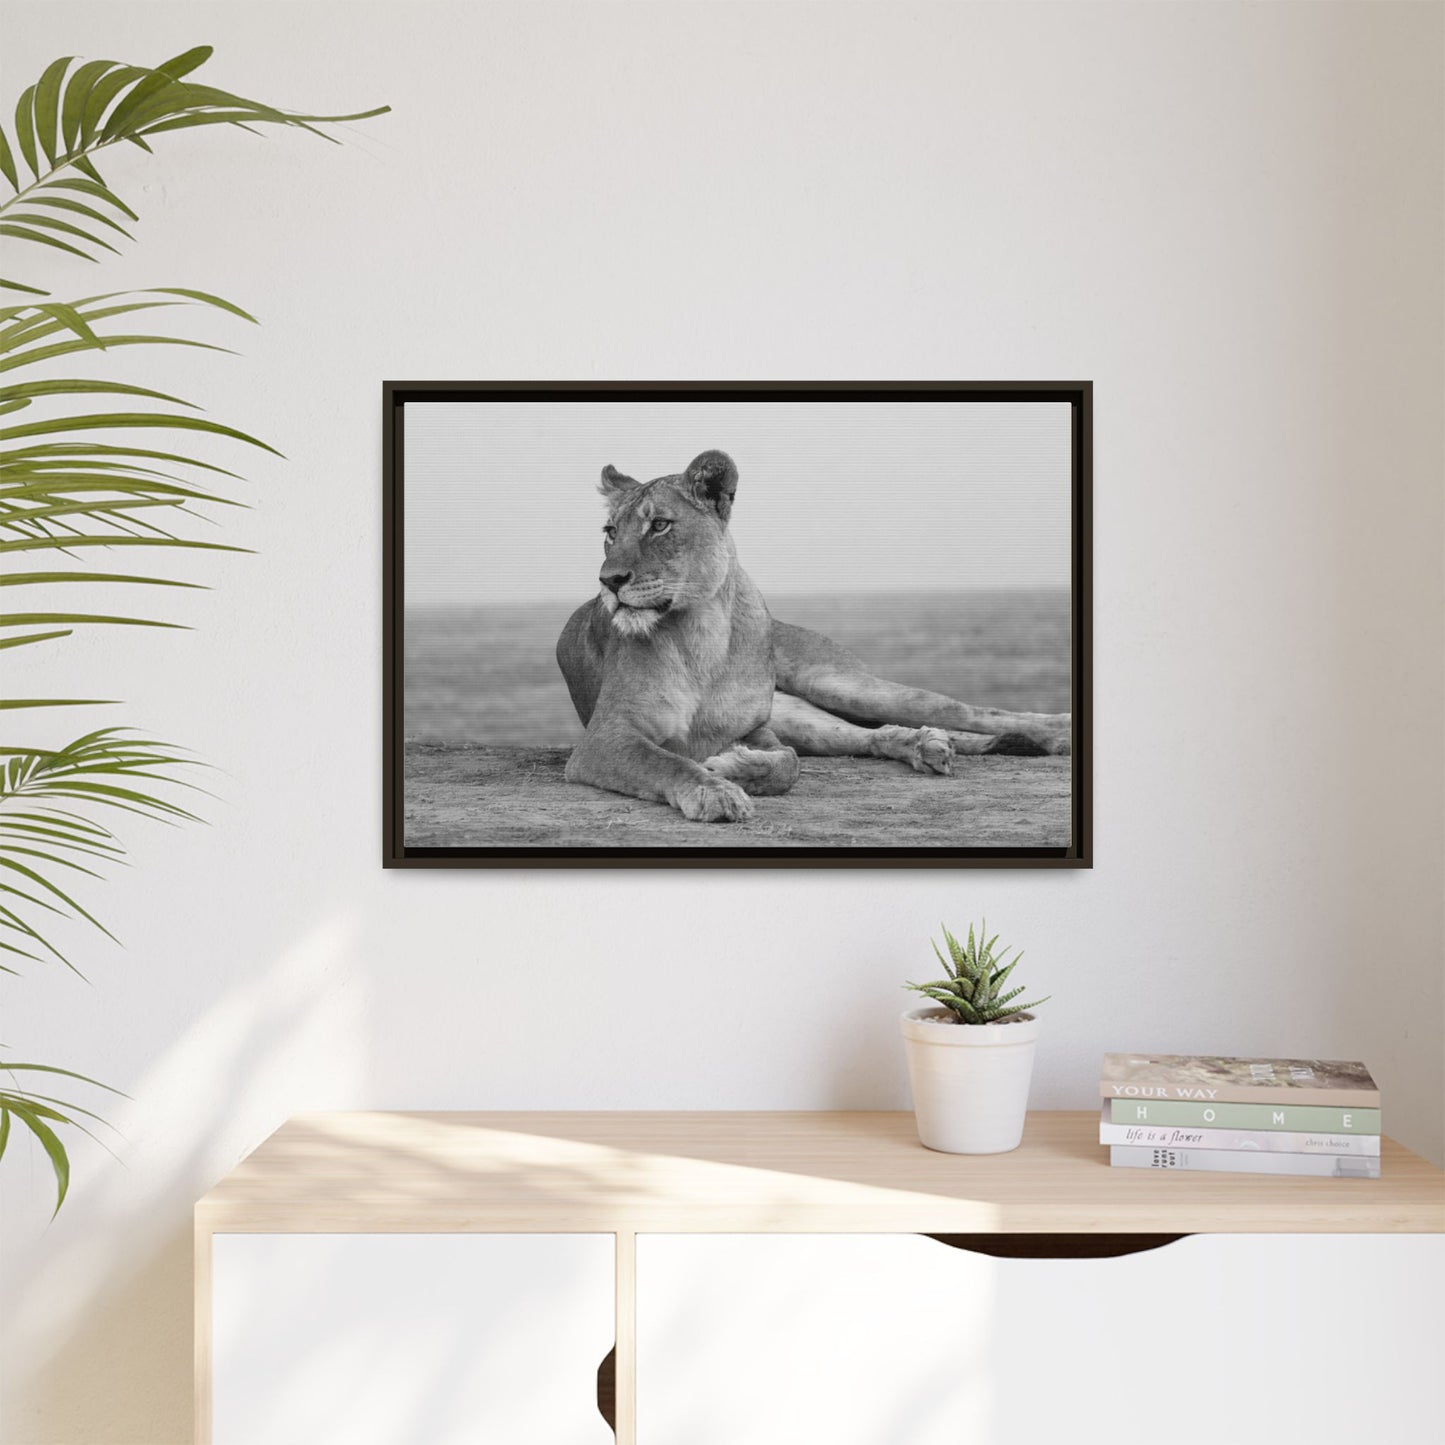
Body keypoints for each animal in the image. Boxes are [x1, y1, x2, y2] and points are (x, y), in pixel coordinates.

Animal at [555, 450, 1070, 823]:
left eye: (659, 525)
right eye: (610, 532)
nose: (608, 581)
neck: (701, 634)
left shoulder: (755, 728)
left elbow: (789, 765)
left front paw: (730, 768)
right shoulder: (606, 737)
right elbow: (668, 760)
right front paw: (716, 789)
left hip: (837, 683)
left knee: (969, 712)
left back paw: (1056, 732)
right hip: (803, 715)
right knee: (872, 735)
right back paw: (926, 745)